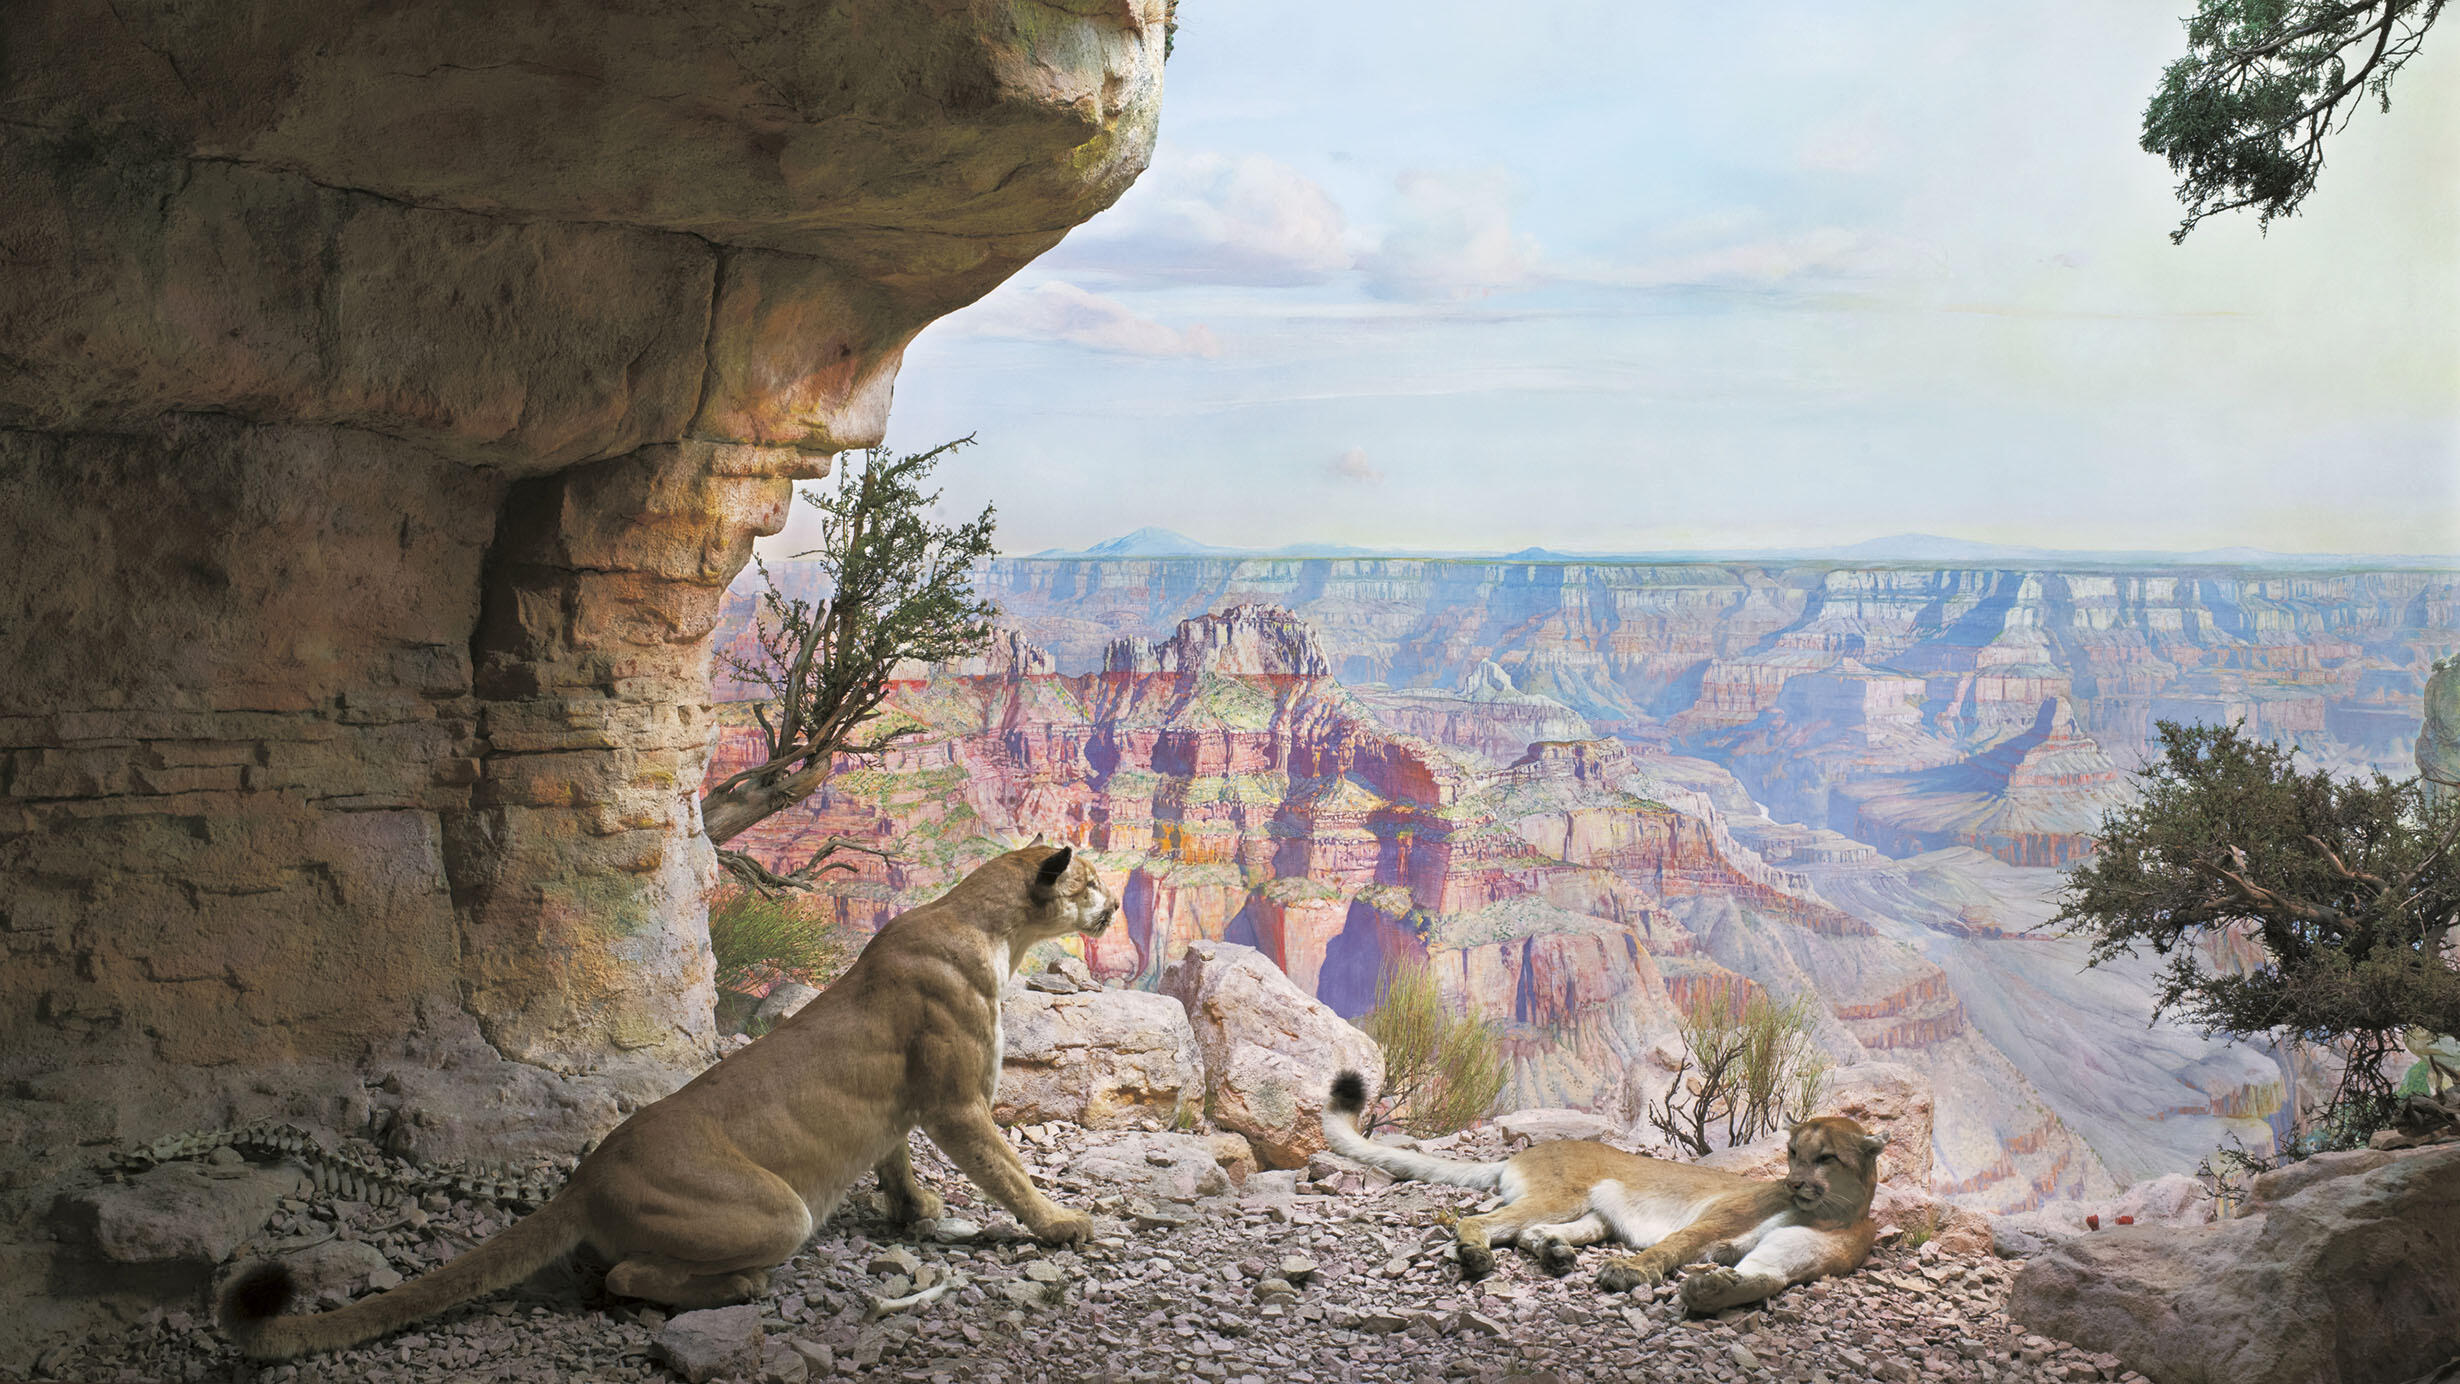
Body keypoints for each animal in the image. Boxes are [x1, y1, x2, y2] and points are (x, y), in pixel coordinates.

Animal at [216, 840, 1121, 1356]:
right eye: (1093, 880)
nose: (1113, 905)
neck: (993, 929)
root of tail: (585, 1177)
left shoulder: (907, 1105)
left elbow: (893, 1155)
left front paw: (914, 1210)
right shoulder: (959, 1103)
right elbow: (1007, 1171)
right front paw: (1063, 1225)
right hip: (777, 1210)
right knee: (625, 1276)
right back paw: (741, 1289)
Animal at [1328, 1071, 1879, 1307]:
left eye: (1825, 1157)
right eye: (1793, 1153)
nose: (1794, 1182)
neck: (1827, 1212)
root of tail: (1522, 1151)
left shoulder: (1786, 1255)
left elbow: (1764, 1278)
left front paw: (1712, 1290)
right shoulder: (1716, 1219)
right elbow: (1674, 1246)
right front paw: (1630, 1273)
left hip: (1591, 1213)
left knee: (1530, 1233)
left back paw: (1555, 1254)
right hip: (1562, 1196)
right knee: (1479, 1220)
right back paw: (1479, 1257)